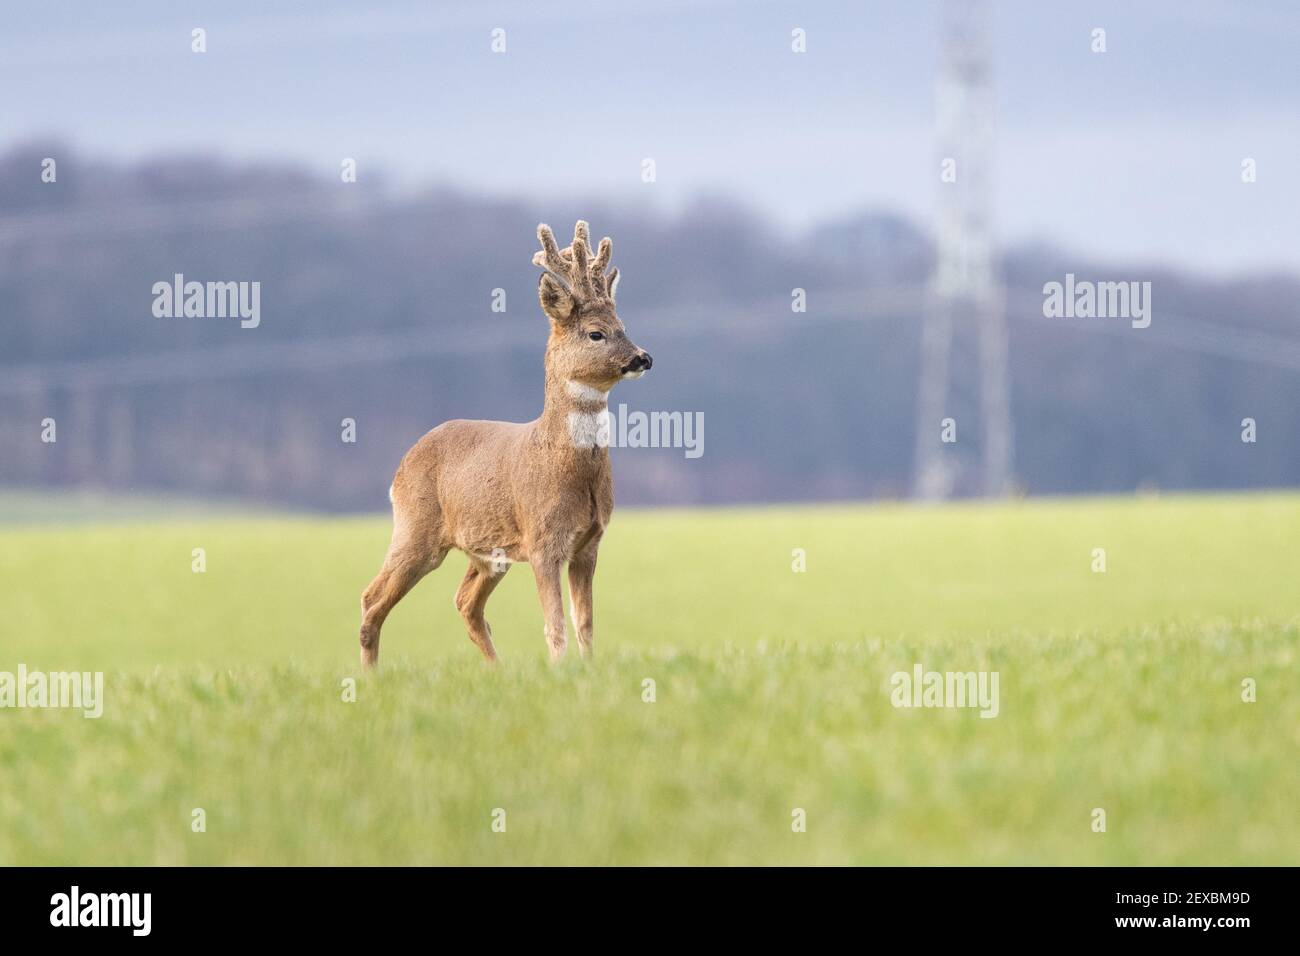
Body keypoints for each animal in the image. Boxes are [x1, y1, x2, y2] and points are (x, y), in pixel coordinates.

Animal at [356, 218, 655, 665]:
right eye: (596, 334)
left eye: (625, 327)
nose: (643, 357)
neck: (565, 467)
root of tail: (399, 469)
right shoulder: (542, 539)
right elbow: (555, 626)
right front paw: (560, 671)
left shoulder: (590, 542)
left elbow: (584, 624)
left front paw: (588, 670)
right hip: (415, 527)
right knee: (371, 599)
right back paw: (370, 676)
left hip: (487, 554)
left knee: (465, 603)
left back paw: (496, 670)